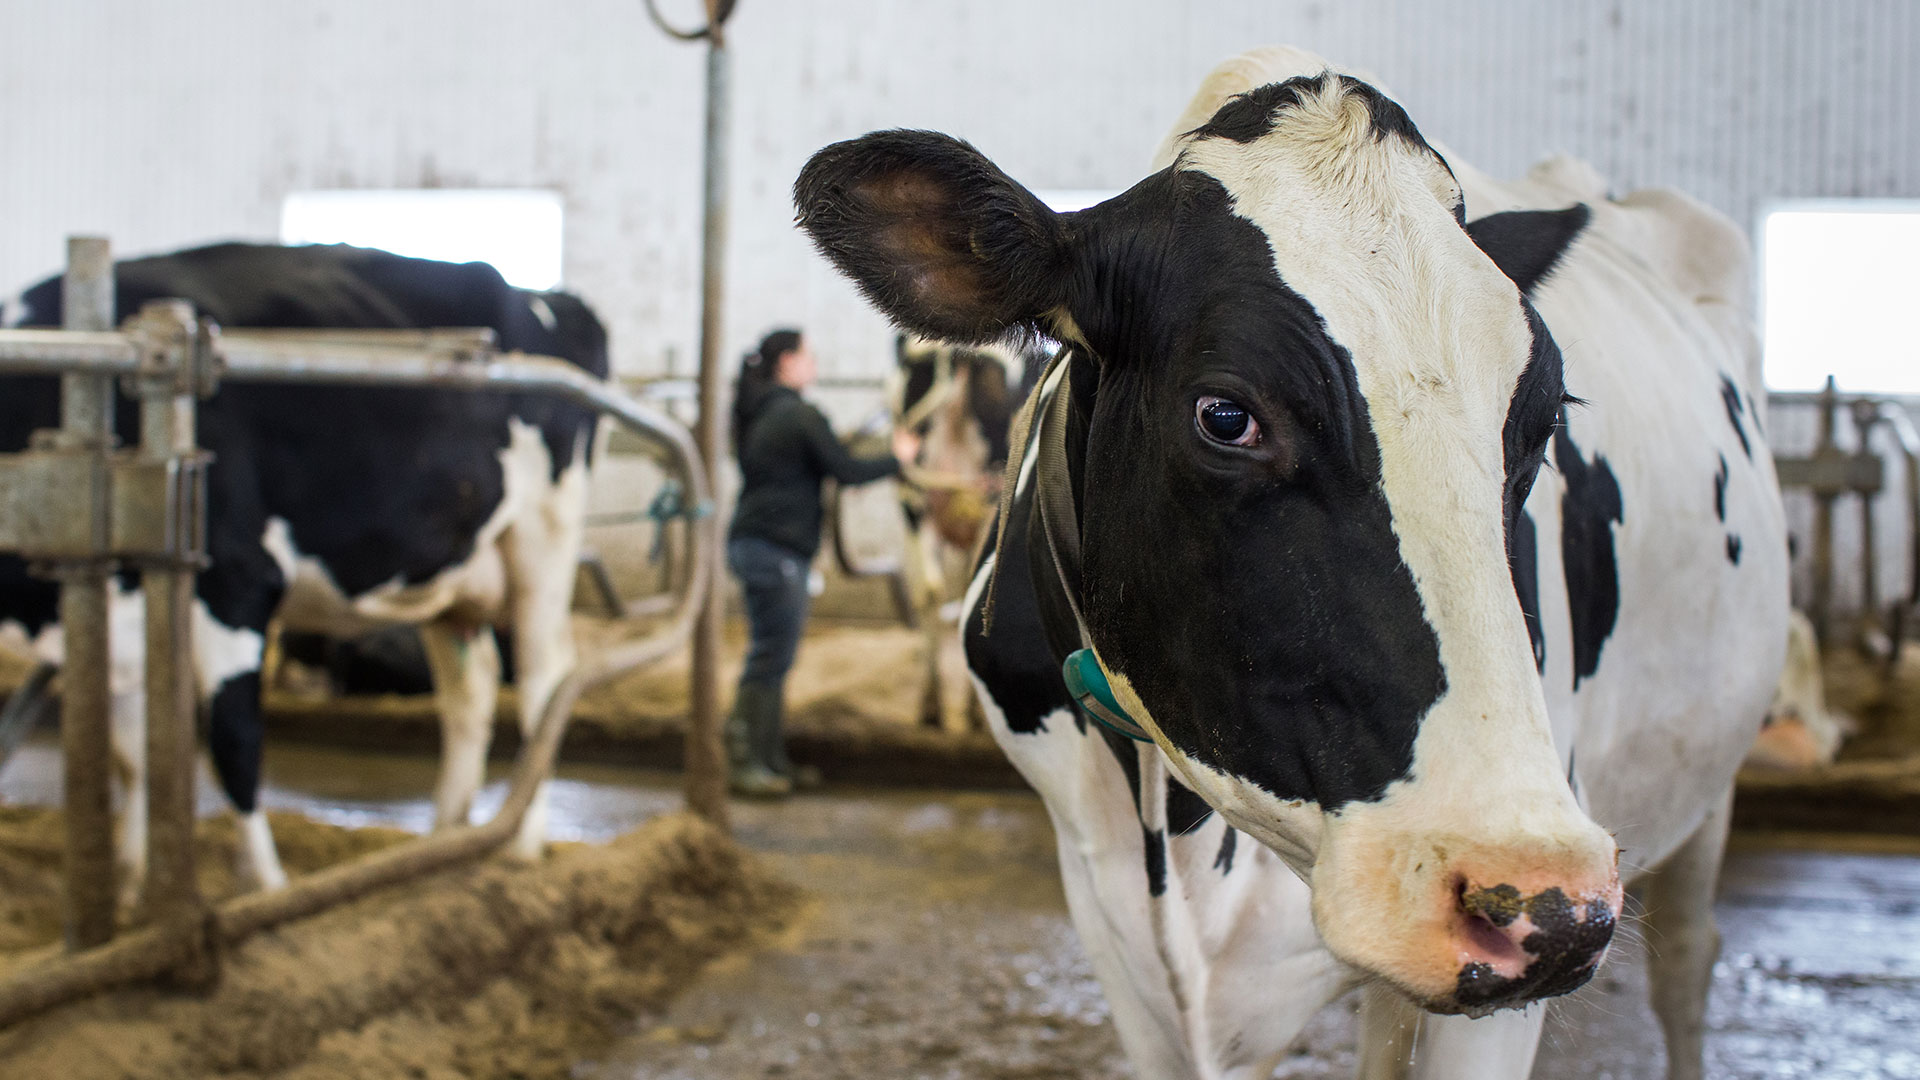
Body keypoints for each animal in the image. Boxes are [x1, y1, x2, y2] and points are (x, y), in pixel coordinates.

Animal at [0, 242, 602, 891]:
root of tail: (550, 298)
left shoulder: (237, 584)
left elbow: (233, 743)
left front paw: (264, 885)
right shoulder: (119, 611)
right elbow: (132, 755)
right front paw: (134, 881)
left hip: (542, 540)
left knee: (543, 680)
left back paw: (523, 844)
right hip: (451, 572)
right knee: (472, 688)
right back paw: (444, 835)